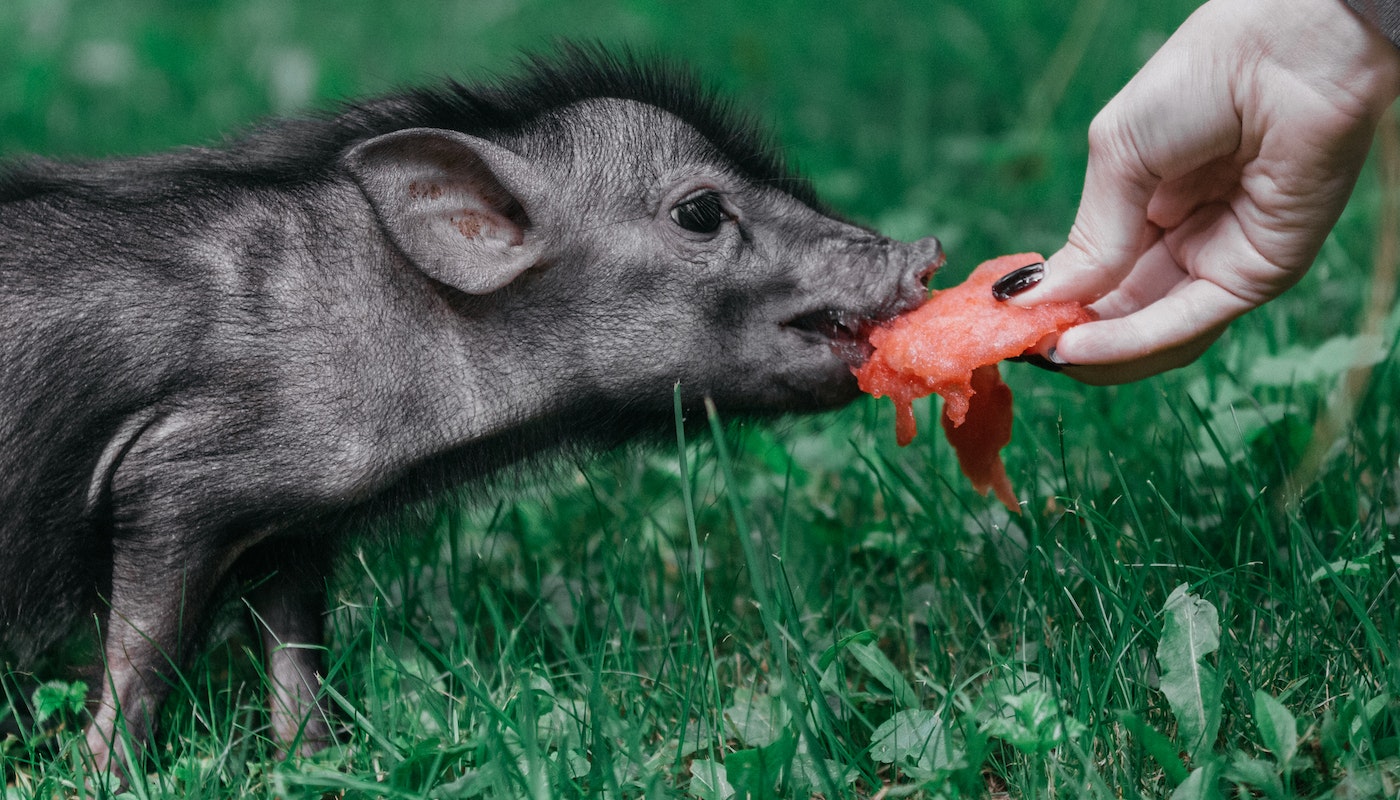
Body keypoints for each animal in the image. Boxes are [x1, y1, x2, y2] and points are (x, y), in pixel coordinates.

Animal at [0, 46, 946, 773]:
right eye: (702, 212)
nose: (928, 249)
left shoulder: (295, 521)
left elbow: (297, 652)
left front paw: (319, 764)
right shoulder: (170, 479)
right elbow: (144, 653)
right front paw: (103, 777)